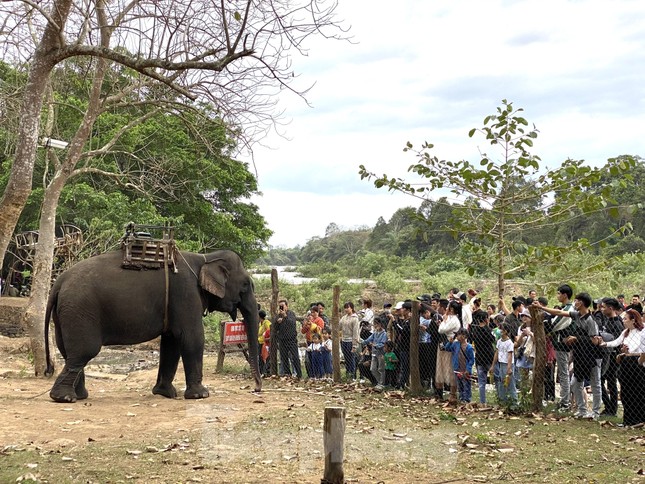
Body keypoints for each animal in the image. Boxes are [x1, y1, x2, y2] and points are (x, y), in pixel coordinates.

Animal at [43, 248, 262, 402]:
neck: (205, 258)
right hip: (80, 310)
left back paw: (79, 396)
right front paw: (200, 395)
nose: (257, 389)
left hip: (65, 313)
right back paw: (64, 398)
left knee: (69, 353)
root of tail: (58, 283)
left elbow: (171, 342)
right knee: (84, 351)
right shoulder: (185, 294)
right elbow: (192, 337)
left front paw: (164, 393)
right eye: (245, 285)